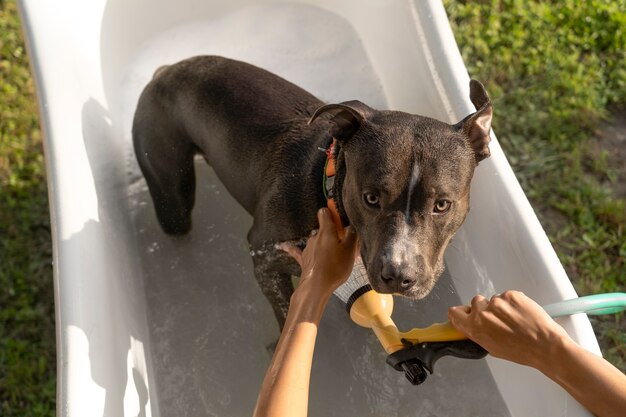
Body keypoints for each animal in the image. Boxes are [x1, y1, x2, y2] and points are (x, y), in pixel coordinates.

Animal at [133, 56, 492, 328]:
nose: (399, 275)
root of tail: (167, 70)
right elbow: (286, 315)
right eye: (371, 198)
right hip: (170, 194)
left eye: (442, 205)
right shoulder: (265, 258)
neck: (328, 193)